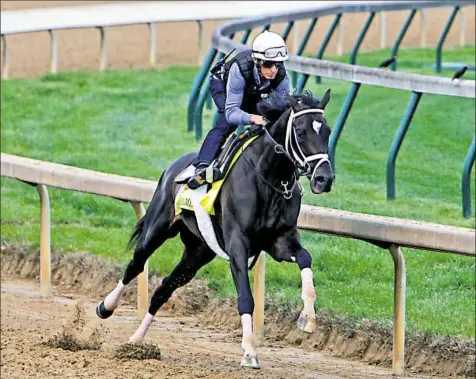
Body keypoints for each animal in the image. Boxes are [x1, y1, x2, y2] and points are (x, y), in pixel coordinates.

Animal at [96, 88, 334, 368]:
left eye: (327, 131)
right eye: (300, 131)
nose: (324, 179)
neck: (269, 178)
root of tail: (173, 167)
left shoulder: (279, 241)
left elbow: (305, 258)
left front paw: (307, 317)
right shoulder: (237, 246)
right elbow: (245, 298)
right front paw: (249, 351)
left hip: (198, 252)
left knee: (164, 289)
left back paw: (136, 340)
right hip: (158, 229)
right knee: (135, 264)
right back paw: (106, 306)